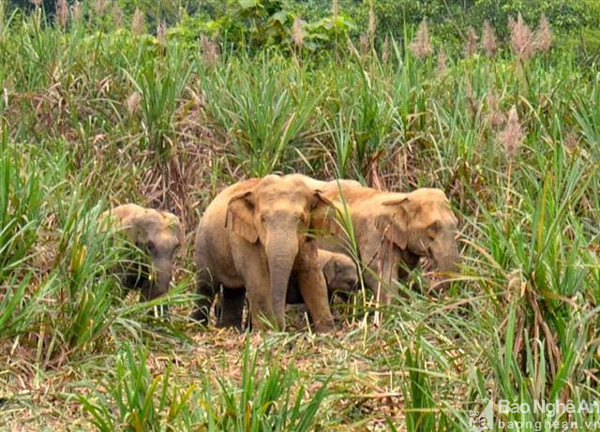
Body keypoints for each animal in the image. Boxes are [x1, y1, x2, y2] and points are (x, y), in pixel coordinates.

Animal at [191, 174, 336, 332]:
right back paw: (195, 326)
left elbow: (312, 276)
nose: (281, 327)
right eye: (263, 219)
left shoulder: (308, 240)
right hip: (204, 246)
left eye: (301, 219)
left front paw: (326, 332)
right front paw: (267, 331)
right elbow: (258, 278)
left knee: (234, 291)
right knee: (205, 286)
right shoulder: (243, 239)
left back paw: (230, 329)